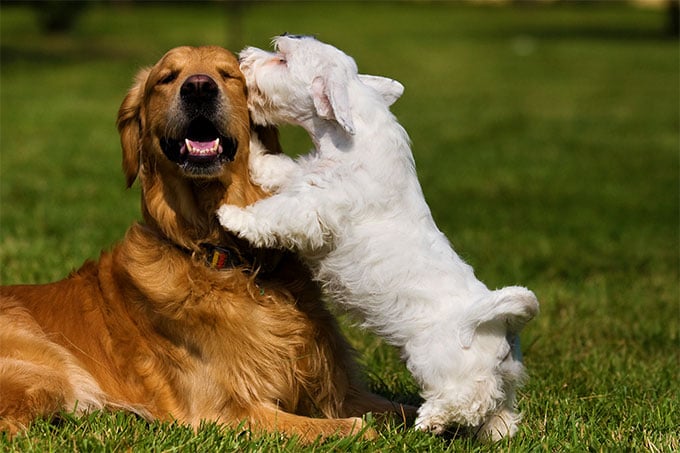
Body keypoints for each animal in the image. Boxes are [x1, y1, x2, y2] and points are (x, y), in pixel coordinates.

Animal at [218, 36, 536, 442]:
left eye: (282, 58)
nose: (243, 57)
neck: (352, 139)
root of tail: (500, 323)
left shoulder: (315, 208)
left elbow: (276, 214)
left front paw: (233, 217)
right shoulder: (303, 176)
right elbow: (279, 169)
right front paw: (257, 150)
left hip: (441, 363)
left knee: (468, 398)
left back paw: (430, 420)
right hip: (505, 382)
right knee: (501, 412)